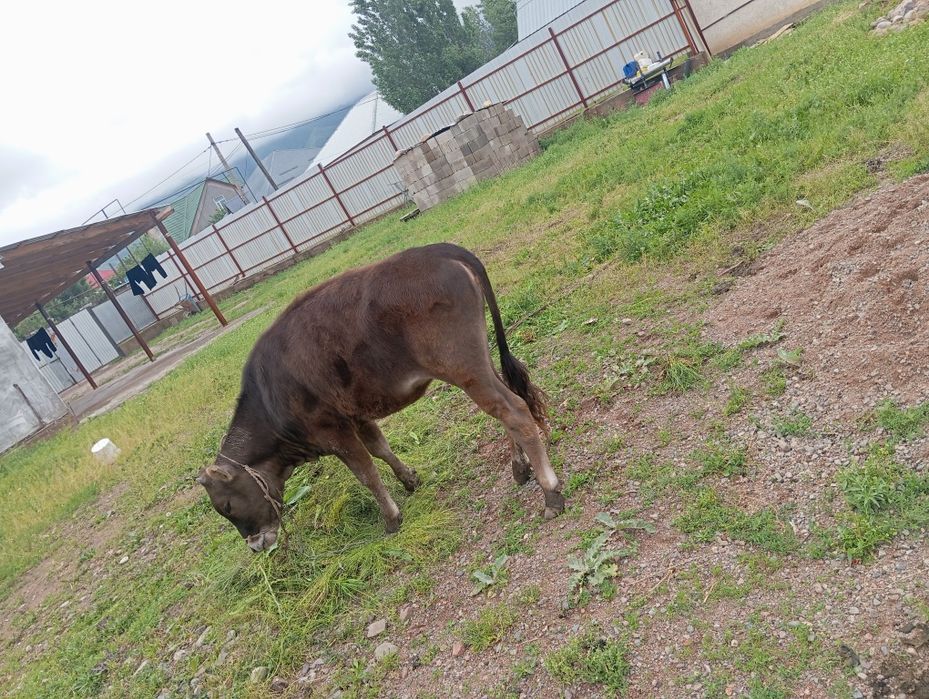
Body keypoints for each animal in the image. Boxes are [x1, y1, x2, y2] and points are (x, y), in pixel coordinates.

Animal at [196, 243, 564, 552]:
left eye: (226, 505)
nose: (256, 545)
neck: (269, 399)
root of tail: (438, 250)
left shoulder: (332, 430)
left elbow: (365, 473)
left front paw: (391, 518)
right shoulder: (356, 415)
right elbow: (380, 448)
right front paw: (409, 479)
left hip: (464, 367)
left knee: (514, 411)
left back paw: (551, 493)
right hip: (478, 363)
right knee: (505, 407)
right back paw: (520, 468)